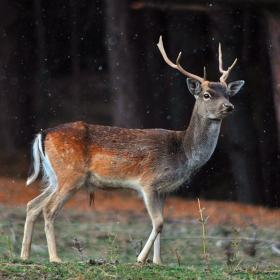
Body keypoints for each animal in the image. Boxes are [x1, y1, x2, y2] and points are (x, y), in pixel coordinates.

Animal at [20, 36, 244, 264]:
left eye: (227, 93)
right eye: (207, 95)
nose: (229, 106)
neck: (182, 153)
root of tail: (43, 133)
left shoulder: (165, 189)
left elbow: (163, 224)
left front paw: (158, 261)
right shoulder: (149, 182)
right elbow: (159, 222)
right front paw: (141, 259)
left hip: (54, 176)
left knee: (32, 205)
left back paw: (24, 255)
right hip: (71, 174)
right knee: (48, 209)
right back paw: (54, 258)